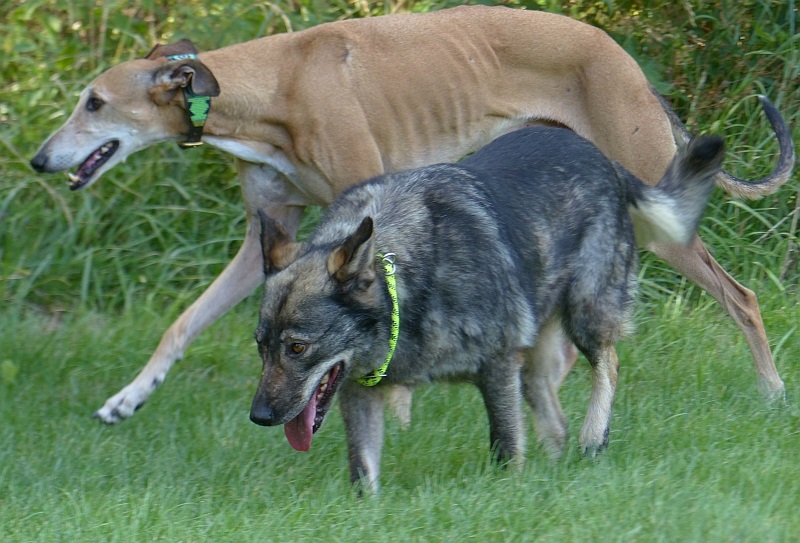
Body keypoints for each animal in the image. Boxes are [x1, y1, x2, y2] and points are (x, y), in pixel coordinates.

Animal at [29, 6, 793, 425]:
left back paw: (772, 391)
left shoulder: (368, 218)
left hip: (659, 216)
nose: (38, 158)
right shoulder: (268, 238)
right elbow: (182, 323)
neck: (272, 85)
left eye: (94, 102)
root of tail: (625, 61)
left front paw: (391, 408)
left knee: (743, 296)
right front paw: (128, 399)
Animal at [249, 126, 725, 492]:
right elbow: (363, 473)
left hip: (584, 313)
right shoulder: (358, 391)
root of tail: (604, 159)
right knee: (554, 420)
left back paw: (594, 436)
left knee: (609, 362)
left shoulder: (496, 365)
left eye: (297, 348)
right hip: (532, 360)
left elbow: (506, 444)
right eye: (261, 348)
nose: (259, 417)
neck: (400, 277)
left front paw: (510, 490)